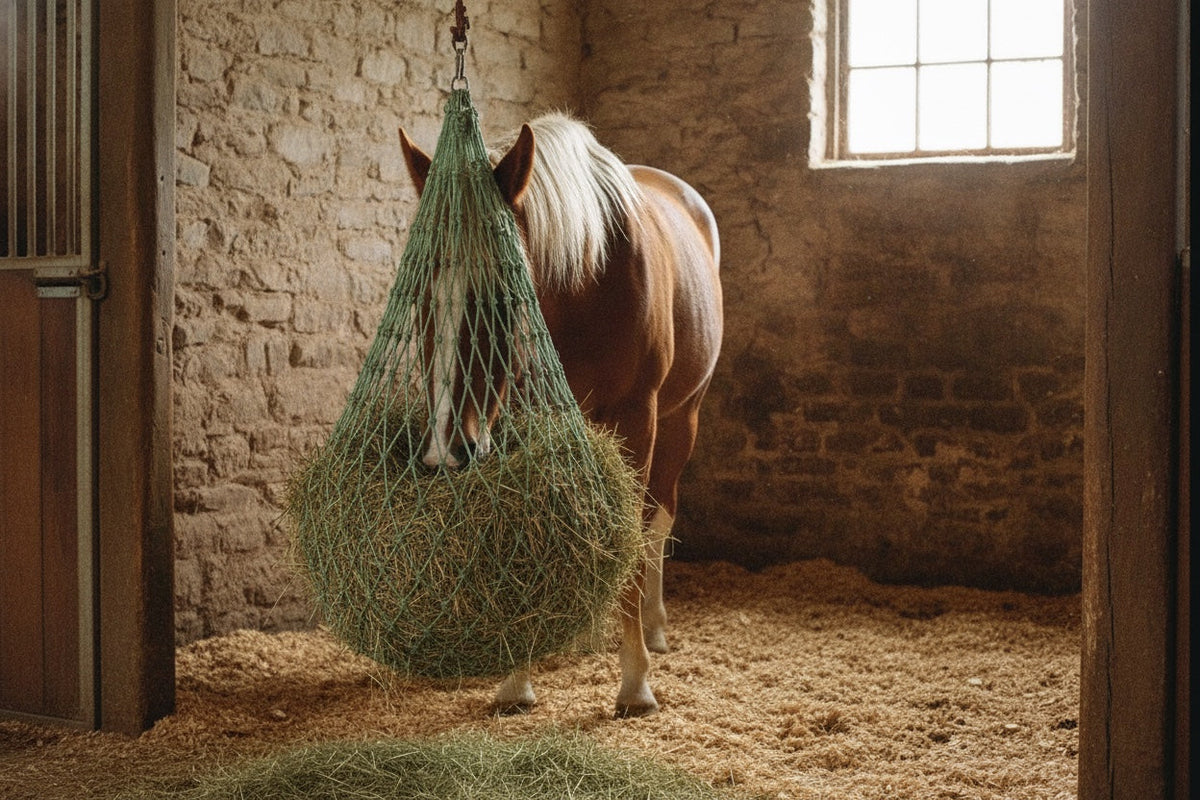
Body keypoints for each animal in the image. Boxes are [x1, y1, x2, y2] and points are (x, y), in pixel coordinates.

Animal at [398, 112, 722, 717]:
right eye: (419, 294)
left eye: (502, 295)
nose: (446, 451)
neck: (584, 284)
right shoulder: (520, 424)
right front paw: (515, 680)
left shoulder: (636, 420)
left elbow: (634, 537)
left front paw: (634, 683)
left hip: (681, 419)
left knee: (656, 524)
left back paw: (653, 626)